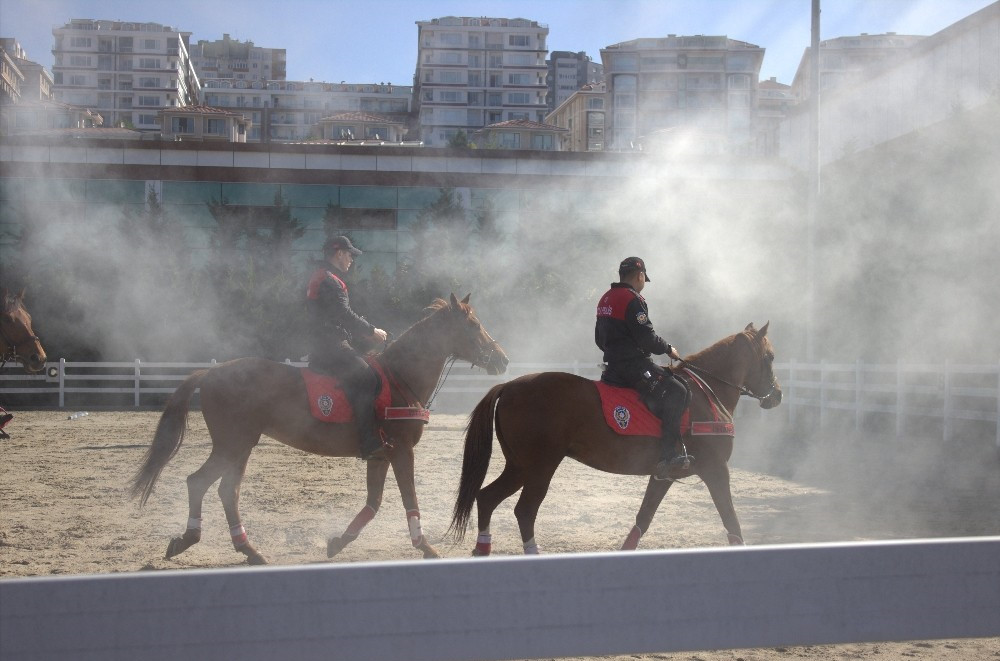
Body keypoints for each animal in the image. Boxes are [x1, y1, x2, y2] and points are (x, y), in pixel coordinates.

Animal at [131, 292, 508, 564]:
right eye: (473, 325)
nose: (502, 359)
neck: (400, 379)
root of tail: (211, 372)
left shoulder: (380, 456)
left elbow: (373, 503)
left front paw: (339, 541)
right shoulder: (402, 451)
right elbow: (409, 498)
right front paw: (425, 546)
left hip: (241, 446)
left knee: (226, 491)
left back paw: (246, 549)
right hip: (232, 445)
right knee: (201, 483)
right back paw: (194, 540)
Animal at [452, 322, 780, 556]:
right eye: (770, 357)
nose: (776, 395)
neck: (706, 391)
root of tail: (508, 386)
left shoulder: (663, 476)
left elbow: (644, 518)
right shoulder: (716, 471)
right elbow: (731, 520)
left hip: (519, 467)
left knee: (487, 497)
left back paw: (483, 549)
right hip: (540, 467)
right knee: (524, 510)